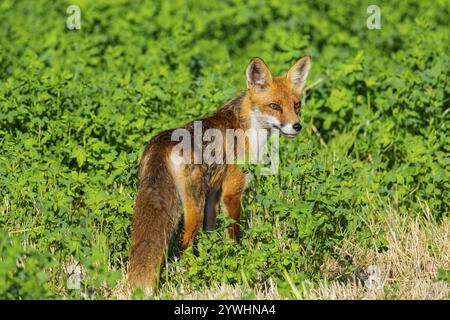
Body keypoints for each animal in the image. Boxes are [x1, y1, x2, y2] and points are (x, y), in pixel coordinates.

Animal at [126, 55, 310, 292]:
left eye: (296, 105)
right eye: (274, 106)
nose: (296, 126)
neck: (247, 128)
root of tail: (163, 142)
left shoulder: (213, 195)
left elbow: (211, 233)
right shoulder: (231, 193)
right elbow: (234, 234)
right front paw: (239, 263)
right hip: (194, 206)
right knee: (185, 244)